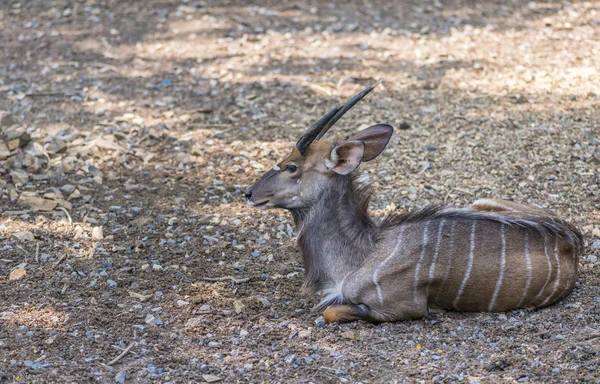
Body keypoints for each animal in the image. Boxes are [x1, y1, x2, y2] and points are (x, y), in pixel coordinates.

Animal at [243, 82, 580, 324]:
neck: (363, 252)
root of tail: (574, 240)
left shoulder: (401, 307)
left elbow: (330, 311)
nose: (249, 193)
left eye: (291, 167)